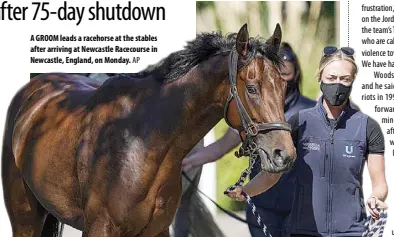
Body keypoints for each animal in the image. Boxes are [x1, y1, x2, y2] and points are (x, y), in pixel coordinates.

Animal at [0, 23, 296, 237]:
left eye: (283, 87)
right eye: (252, 88)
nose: (284, 154)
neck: (142, 141)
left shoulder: (157, 230)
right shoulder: (98, 229)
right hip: (25, 217)